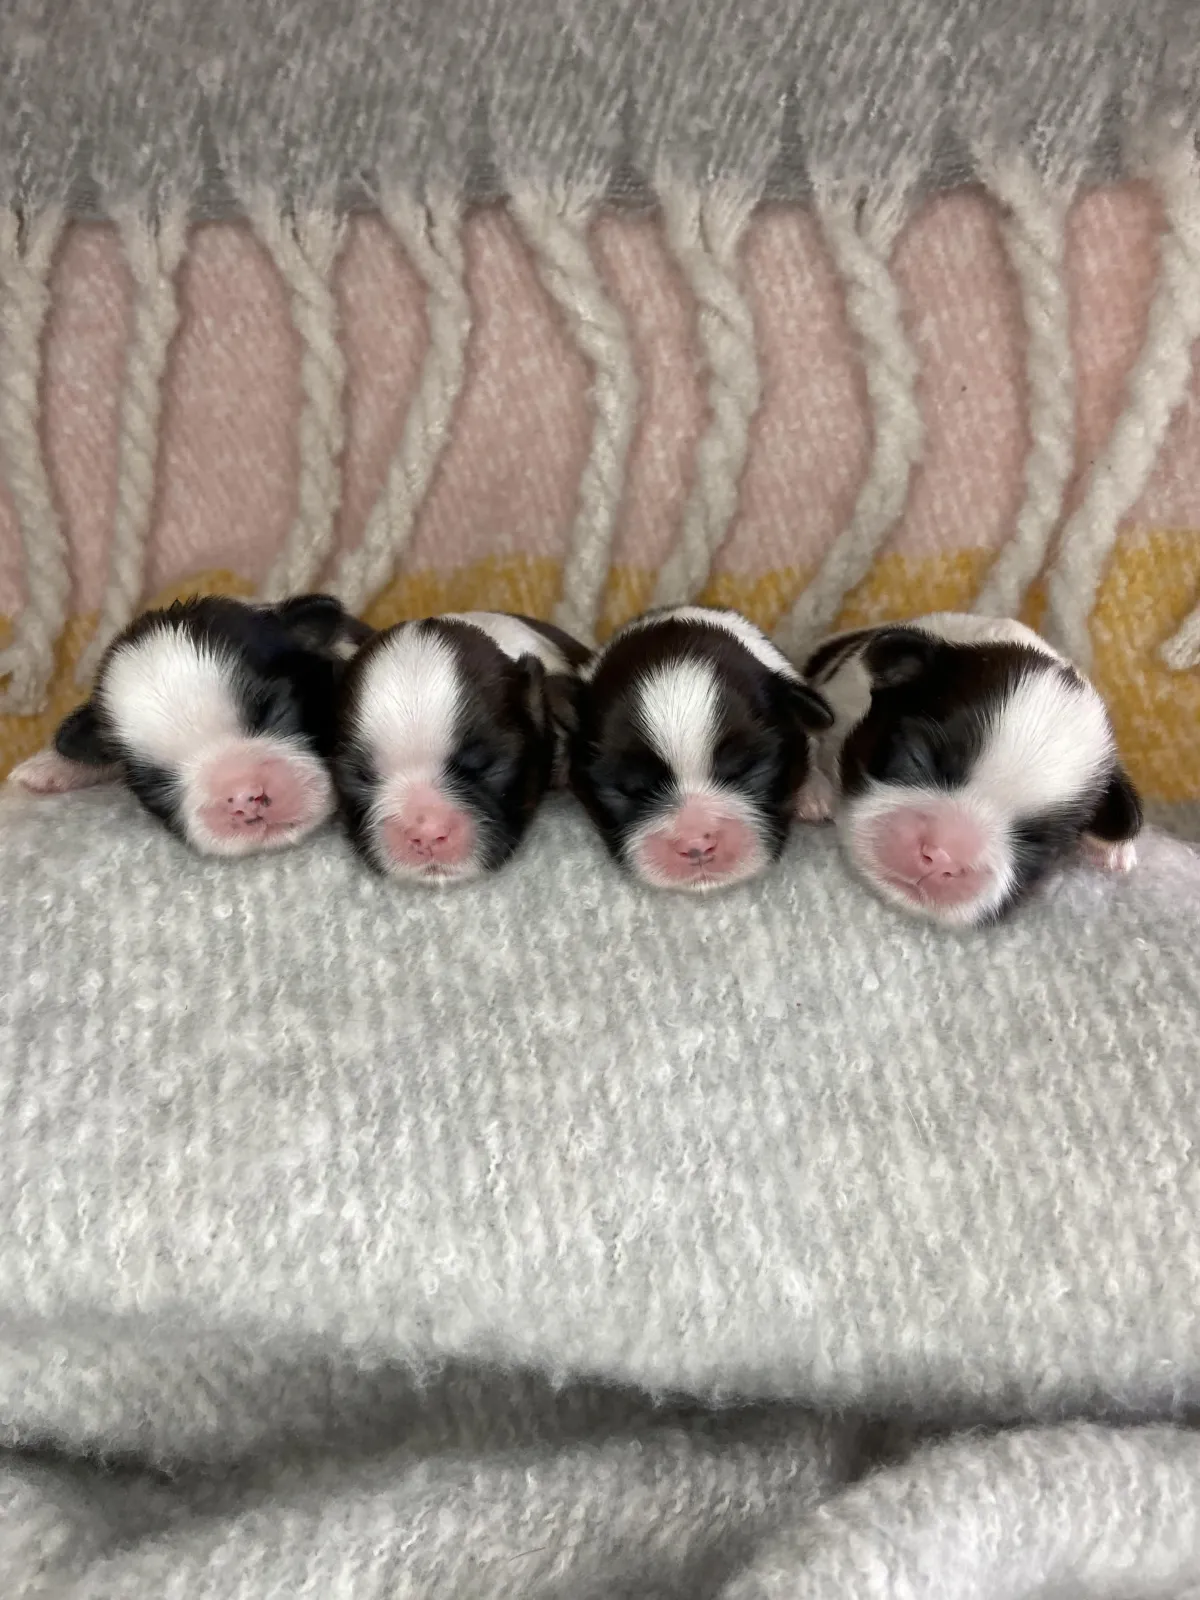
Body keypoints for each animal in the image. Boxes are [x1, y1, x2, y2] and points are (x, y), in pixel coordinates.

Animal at [800, 614, 1145, 934]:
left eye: (1035, 843)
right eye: (916, 756)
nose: (943, 859)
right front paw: (811, 790)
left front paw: (1114, 848)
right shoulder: (837, 700)